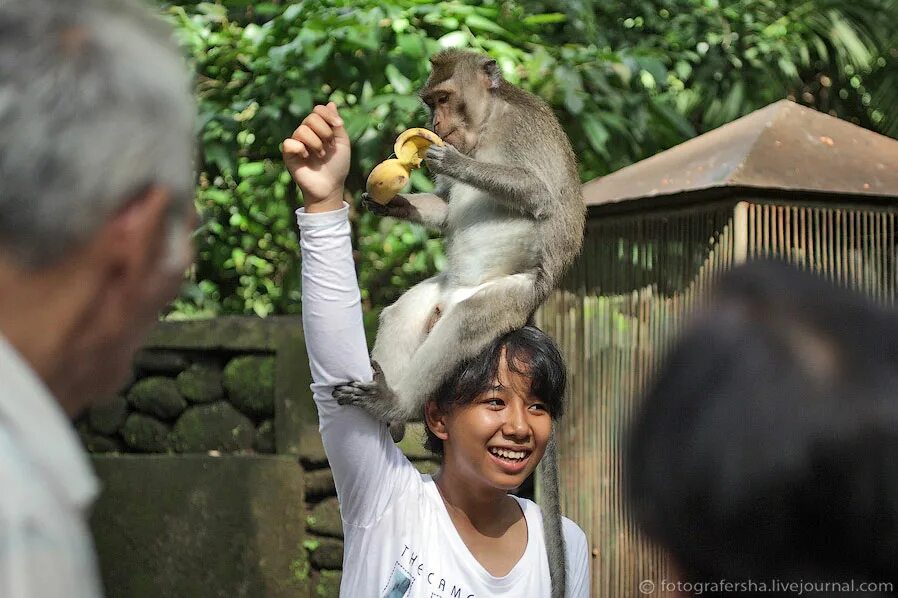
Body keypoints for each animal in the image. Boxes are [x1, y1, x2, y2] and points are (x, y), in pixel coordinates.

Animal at [332, 51, 584, 598]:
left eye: (444, 99)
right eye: (431, 102)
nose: (436, 123)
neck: (486, 124)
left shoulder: (519, 128)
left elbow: (539, 193)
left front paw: (451, 162)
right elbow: (448, 214)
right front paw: (389, 199)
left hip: (511, 297)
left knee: (469, 322)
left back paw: (395, 403)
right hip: (439, 295)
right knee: (402, 312)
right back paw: (391, 413)